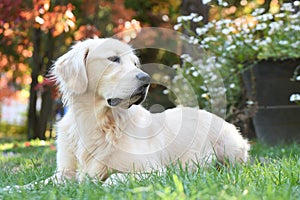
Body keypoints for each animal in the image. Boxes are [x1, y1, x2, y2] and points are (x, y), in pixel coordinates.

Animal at [51, 38, 248, 183]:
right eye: (113, 59)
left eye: (135, 63)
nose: (146, 79)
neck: (97, 121)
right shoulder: (64, 170)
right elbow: (48, 181)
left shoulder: (152, 169)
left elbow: (112, 179)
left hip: (228, 146)